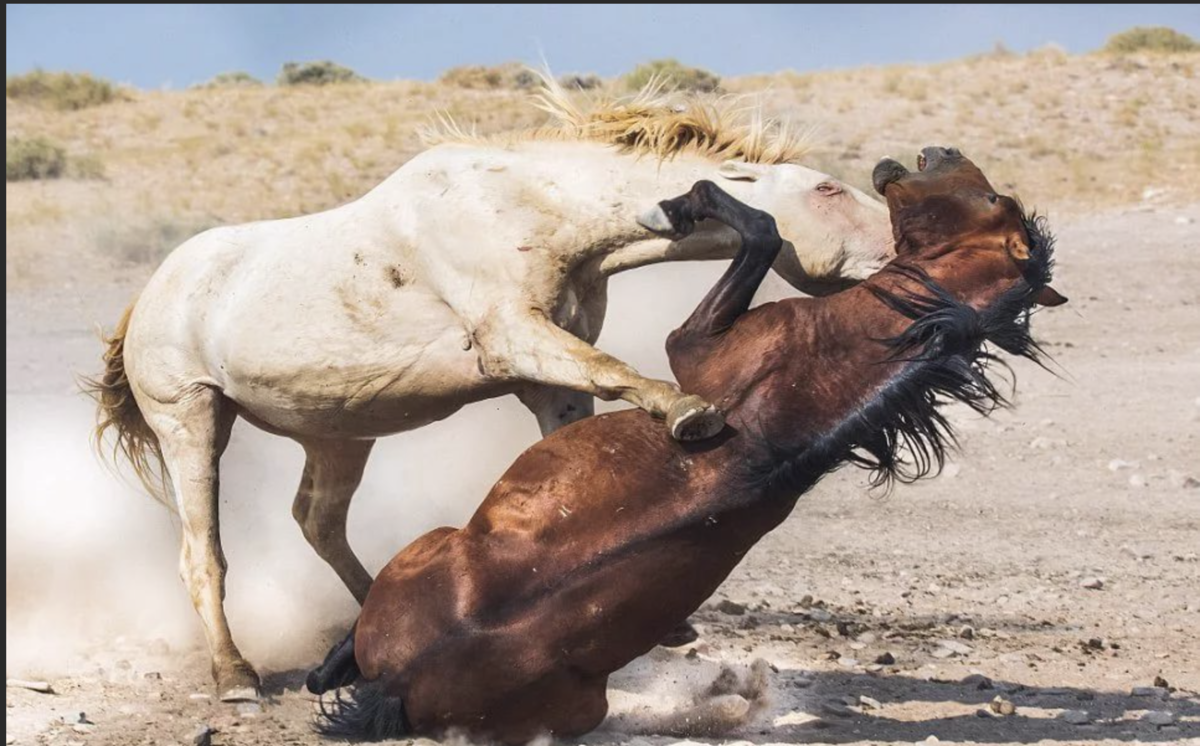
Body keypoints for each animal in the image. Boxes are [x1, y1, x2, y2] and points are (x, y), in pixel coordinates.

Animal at [88, 81, 892, 700]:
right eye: (826, 187)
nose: (898, 242)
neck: (530, 206)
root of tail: (145, 296)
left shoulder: (545, 382)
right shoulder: (515, 336)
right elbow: (618, 373)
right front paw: (690, 412)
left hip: (339, 434)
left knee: (317, 522)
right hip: (192, 420)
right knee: (203, 556)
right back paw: (236, 677)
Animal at [304, 149, 1065, 743]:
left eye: (992, 198)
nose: (939, 150)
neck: (837, 366)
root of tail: (401, 683)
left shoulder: (693, 341)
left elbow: (761, 229)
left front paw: (678, 205)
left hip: (433, 552)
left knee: (334, 662)